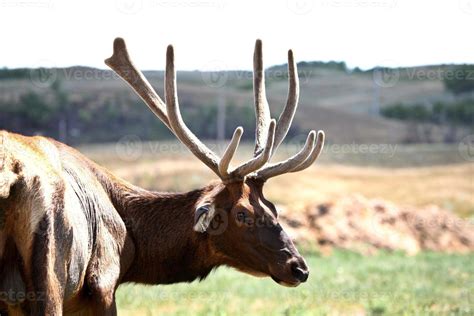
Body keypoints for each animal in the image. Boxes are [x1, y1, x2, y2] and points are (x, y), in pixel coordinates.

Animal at [0, 38, 324, 314]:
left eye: (273, 207)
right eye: (242, 213)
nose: (299, 268)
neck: (134, 251)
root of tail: (13, 176)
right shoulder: (102, 282)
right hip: (51, 273)